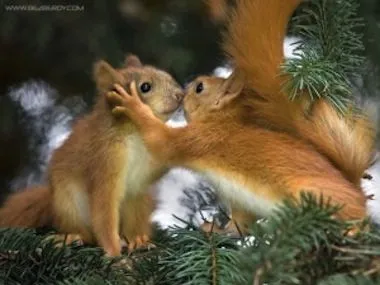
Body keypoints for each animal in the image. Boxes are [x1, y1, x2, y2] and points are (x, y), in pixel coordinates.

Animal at [0, 55, 184, 255]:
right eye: (145, 87)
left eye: (168, 76)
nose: (180, 95)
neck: (135, 133)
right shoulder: (105, 161)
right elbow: (104, 211)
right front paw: (114, 253)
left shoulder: (144, 170)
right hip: (68, 204)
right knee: (88, 234)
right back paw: (73, 237)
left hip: (141, 200)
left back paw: (138, 239)